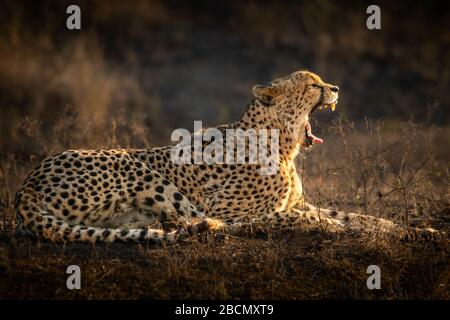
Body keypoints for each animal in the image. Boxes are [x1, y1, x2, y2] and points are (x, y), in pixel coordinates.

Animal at [14, 71, 442, 244]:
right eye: (311, 84)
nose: (335, 88)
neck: (284, 145)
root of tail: (27, 184)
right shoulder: (234, 206)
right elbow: (309, 219)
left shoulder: (300, 201)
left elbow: (361, 217)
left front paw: (418, 231)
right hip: (135, 165)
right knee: (200, 220)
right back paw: (210, 228)